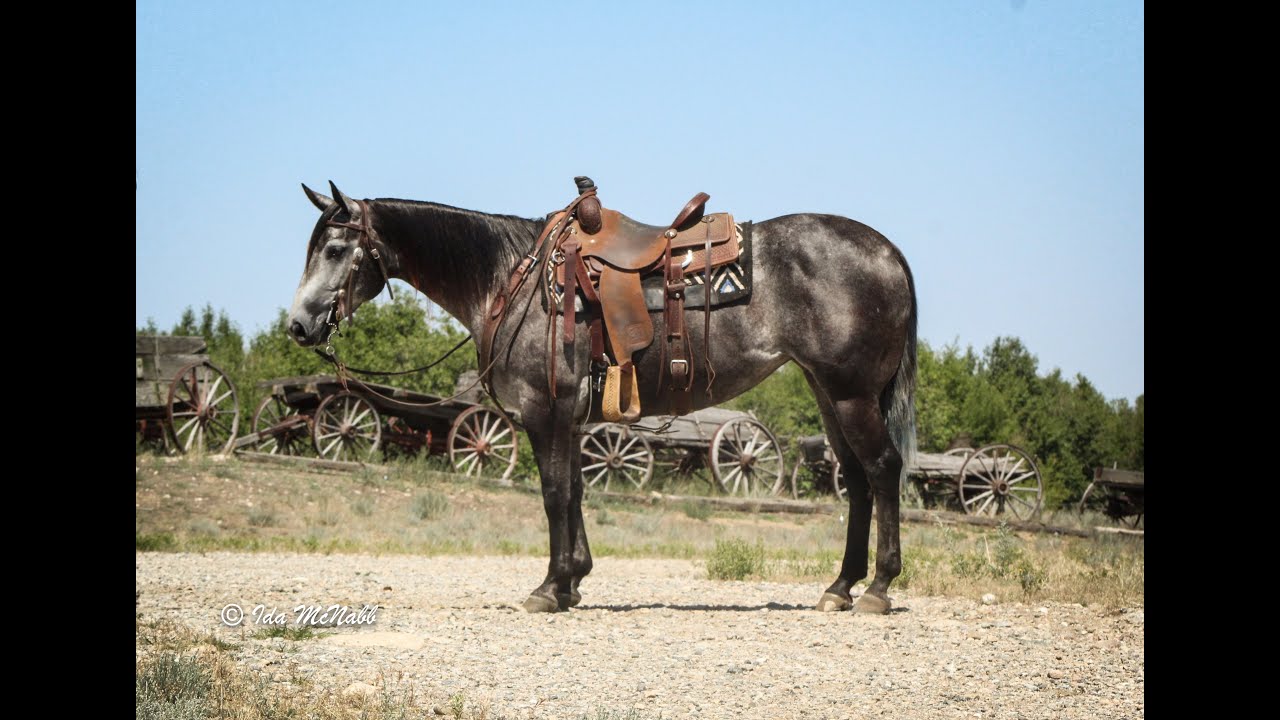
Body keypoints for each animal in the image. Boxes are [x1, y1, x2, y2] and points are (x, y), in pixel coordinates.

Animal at [287, 181, 917, 614]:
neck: (510, 279)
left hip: (851, 394)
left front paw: (549, 587)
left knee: (883, 470)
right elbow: (576, 494)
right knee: (857, 480)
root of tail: (887, 250)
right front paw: (573, 581)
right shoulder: (572, 419)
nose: (298, 325)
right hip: (828, 392)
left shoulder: (544, 414)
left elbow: (552, 494)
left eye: (337, 250)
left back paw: (878, 588)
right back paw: (839, 587)